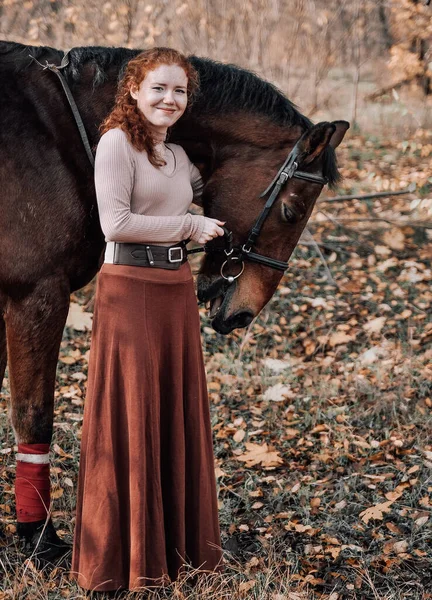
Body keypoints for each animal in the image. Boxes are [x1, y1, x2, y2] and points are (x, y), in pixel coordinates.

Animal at [0, 39, 346, 560]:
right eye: (291, 210)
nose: (242, 314)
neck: (59, 132)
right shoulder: (34, 297)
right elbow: (33, 415)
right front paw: (38, 537)